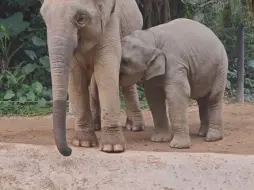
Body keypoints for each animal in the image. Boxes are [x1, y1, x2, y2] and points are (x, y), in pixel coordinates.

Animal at [39, 0, 143, 156]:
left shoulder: (110, 23)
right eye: (44, 19)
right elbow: (76, 78)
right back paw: (96, 125)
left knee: (127, 83)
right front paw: (83, 143)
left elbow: (106, 72)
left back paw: (134, 127)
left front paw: (112, 148)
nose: (69, 150)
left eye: (81, 19)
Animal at [119, 18, 228, 148]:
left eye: (125, 61)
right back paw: (202, 134)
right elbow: (154, 97)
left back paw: (212, 138)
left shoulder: (175, 63)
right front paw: (159, 140)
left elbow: (177, 95)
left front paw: (178, 146)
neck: (151, 37)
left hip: (221, 67)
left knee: (214, 97)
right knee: (202, 100)